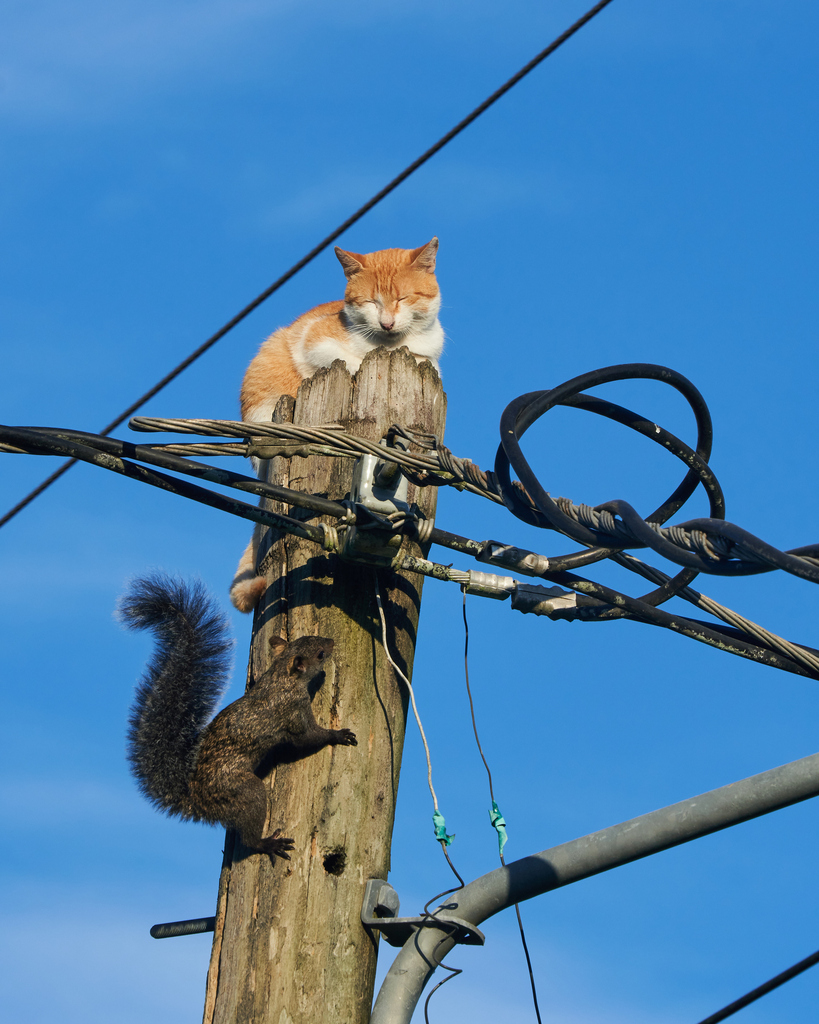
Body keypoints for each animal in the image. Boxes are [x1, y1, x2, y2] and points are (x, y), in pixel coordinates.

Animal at [120, 572, 357, 859]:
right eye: (320, 654)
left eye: (312, 636)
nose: (332, 643)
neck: (281, 676)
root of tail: (197, 800)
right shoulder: (293, 711)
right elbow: (308, 737)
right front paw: (338, 734)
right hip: (246, 792)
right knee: (250, 836)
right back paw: (268, 843)